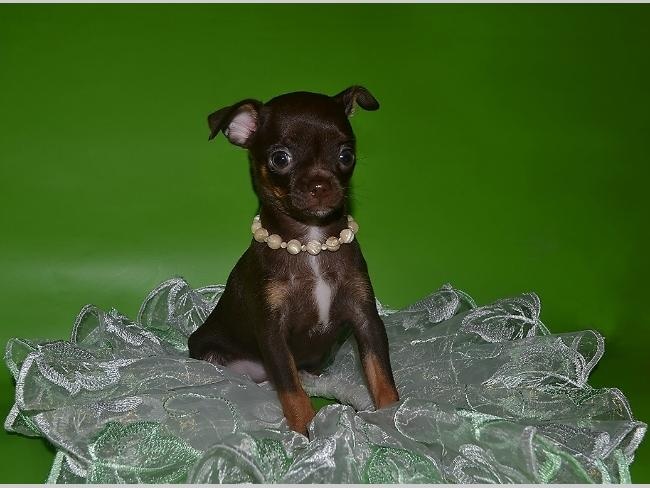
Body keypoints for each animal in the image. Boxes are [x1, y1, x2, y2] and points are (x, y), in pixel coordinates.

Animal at [188, 86, 399, 435]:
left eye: (346, 156)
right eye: (280, 158)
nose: (320, 185)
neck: (311, 245)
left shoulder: (366, 320)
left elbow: (381, 375)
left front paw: (393, 417)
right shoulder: (273, 334)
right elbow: (291, 390)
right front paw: (306, 431)